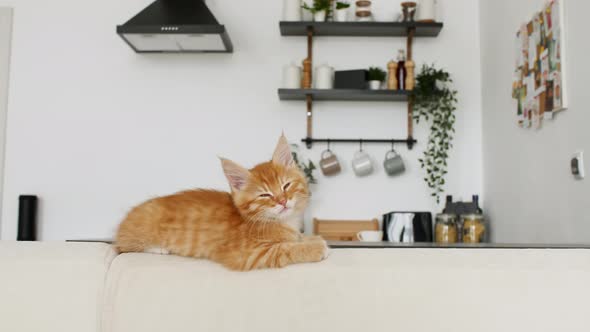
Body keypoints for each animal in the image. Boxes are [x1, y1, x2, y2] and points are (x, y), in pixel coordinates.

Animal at [114, 134, 328, 270]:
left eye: (286, 186)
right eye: (265, 195)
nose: (283, 201)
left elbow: (294, 238)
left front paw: (311, 238)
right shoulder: (245, 254)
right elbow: (283, 249)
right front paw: (314, 248)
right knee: (124, 246)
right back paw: (158, 248)